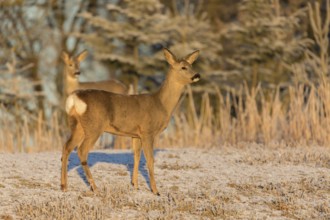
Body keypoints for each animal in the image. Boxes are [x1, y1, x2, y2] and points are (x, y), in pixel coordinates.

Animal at [61, 47, 201, 194]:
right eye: (183, 67)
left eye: (192, 65)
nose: (197, 75)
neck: (161, 104)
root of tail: (74, 98)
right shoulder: (147, 131)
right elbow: (150, 160)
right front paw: (155, 191)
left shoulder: (136, 134)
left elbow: (136, 157)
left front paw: (135, 185)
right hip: (94, 126)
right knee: (81, 150)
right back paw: (95, 187)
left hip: (78, 126)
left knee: (67, 147)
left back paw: (64, 186)